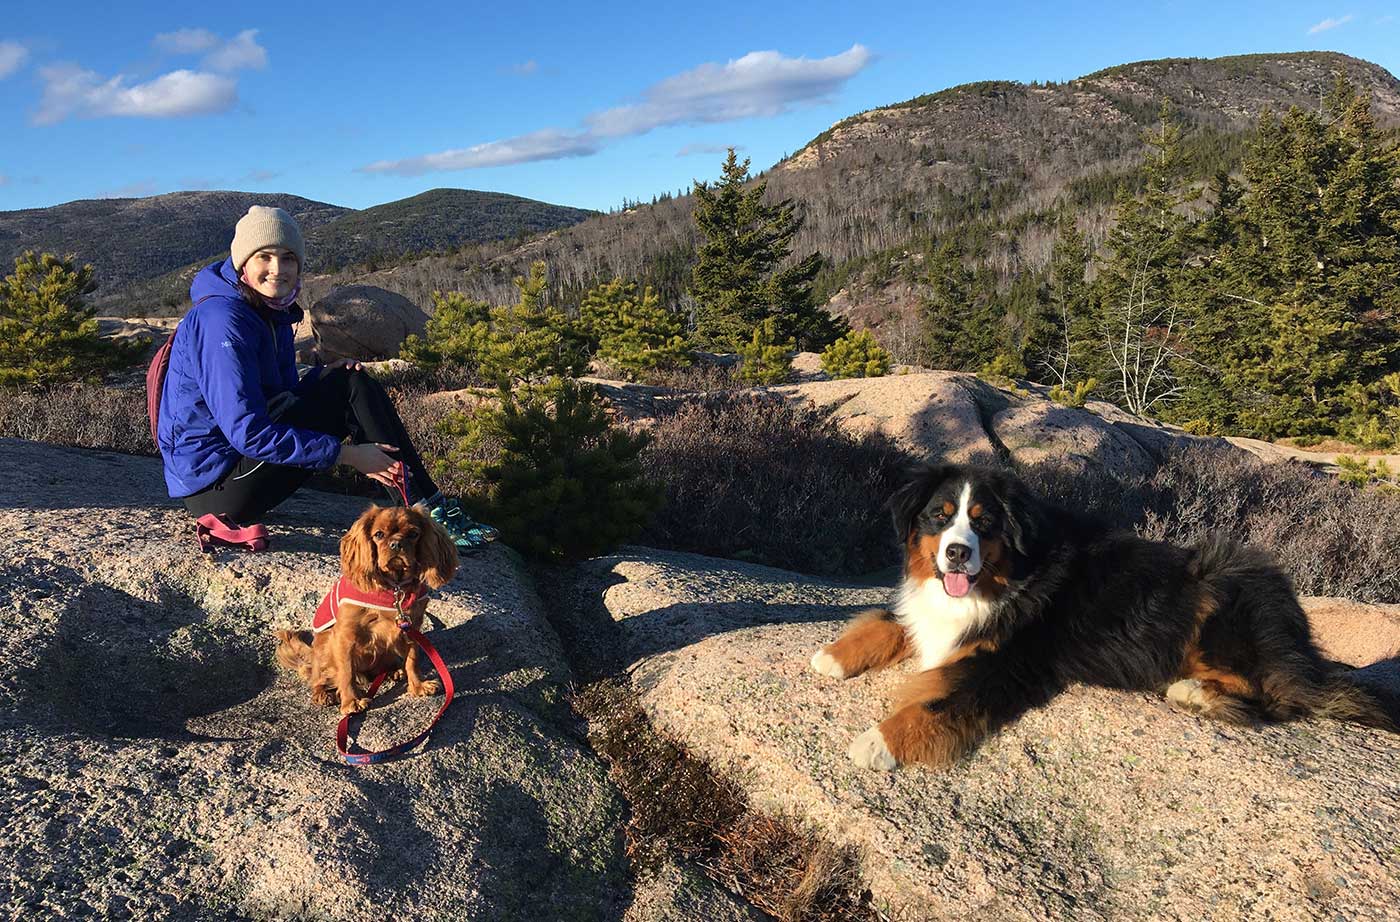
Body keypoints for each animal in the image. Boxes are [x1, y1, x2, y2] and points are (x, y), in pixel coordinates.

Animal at [277, 503, 459, 713]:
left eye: (413, 534)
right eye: (379, 534)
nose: (396, 544)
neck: (394, 587)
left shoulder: (411, 627)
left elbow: (413, 660)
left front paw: (418, 687)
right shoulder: (345, 636)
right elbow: (346, 672)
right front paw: (351, 702)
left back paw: (394, 672)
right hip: (324, 649)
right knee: (318, 678)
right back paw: (323, 694)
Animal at [812, 461, 1388, 772]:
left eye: (985, 522)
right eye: (939, 516)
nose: (956, 553)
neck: (1008, 576)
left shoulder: (1005, 664)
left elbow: (934, 704)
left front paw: (876, 743)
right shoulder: (944, 621)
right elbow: (891, 621)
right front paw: (833, 656)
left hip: (1223, 586)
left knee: (1278, 694)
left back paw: (1193, 692)